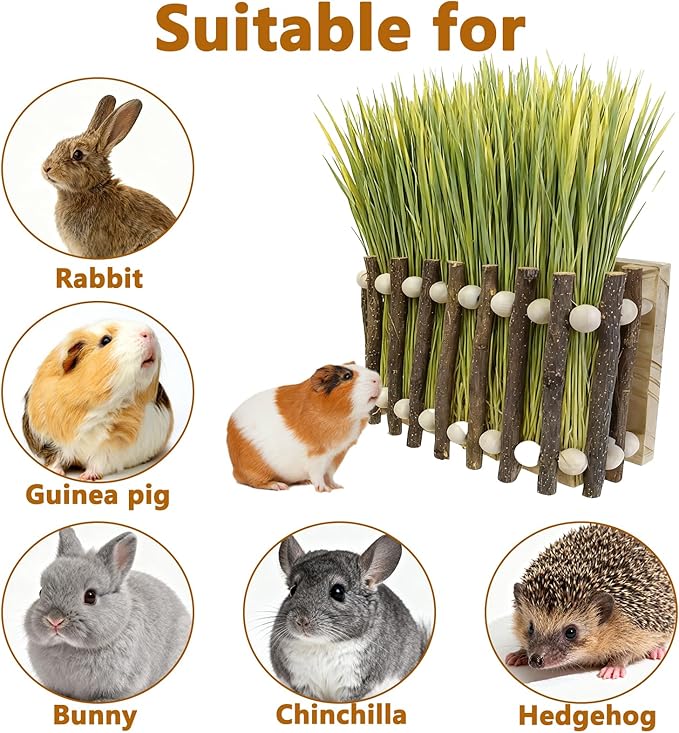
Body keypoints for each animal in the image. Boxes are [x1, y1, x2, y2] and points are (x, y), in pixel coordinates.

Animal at [23, 320, 173, 481]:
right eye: (105, 340)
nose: (148, 333)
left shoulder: (110, 449)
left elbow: (97, 463)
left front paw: (86, 476)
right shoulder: (51, 442)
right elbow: (55, 459)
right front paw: (57, 472)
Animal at [227, 364, 381, 492]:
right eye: (347, 376)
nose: (377, 379)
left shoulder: (337, 455)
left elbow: (329, 474)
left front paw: (336, 487)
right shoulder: (318, 455)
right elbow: (318, 474)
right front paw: (324, 490)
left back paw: (304, 481)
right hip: (255, 472)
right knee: (255, 482)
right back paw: (279, 486)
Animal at [269, 533, 431, 702]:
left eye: (338, 591)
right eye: (293, 590)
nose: (301, 621)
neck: (322, 644)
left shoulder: (357, 682)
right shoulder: (302, 681)